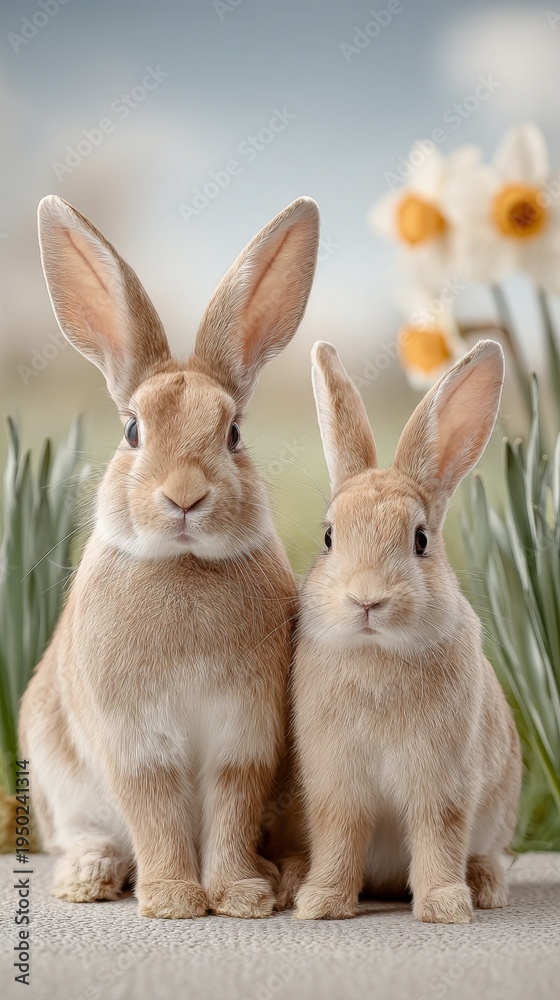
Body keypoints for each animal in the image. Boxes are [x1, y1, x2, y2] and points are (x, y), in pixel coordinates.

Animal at [18, 194, 319, 919]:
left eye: (233, 433)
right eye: (133, 430)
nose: (185, 495)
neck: (183, 566)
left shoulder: (244, 739)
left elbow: (232, 810)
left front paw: (240, 895)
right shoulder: (135, 744)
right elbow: (152, 809)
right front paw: (174, 900)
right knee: (83, 836)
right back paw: (89, 878)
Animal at [291, 339, 521, 924]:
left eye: (420, 540)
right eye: (329, 537)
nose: (366, 599)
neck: (378, 655)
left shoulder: (442, 782)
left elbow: (438, 834)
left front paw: (444, 907)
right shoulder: (336, 784)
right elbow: (338, 835)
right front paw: (321, 903)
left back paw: (485, 886)